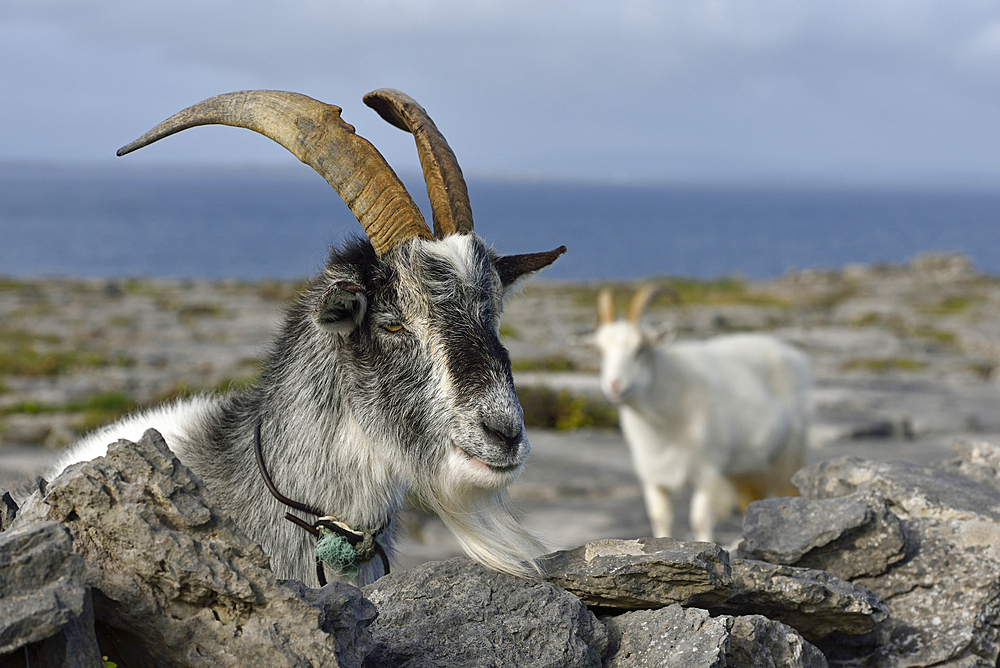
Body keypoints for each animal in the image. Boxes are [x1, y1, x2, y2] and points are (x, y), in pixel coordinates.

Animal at [592, 286, 812, 544]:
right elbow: (660, 518)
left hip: (788, 453)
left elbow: (699, 520)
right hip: (748, 466)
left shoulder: (707, 472)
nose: (614, 385)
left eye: (640, 348)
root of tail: (791, 353)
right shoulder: (654, 477)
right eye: (600, 351)